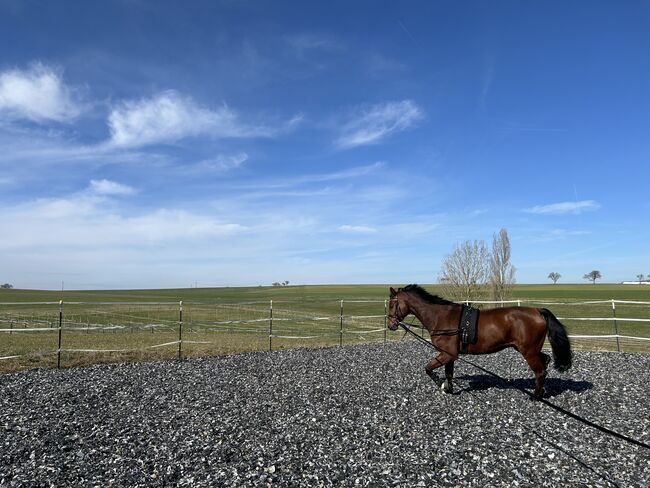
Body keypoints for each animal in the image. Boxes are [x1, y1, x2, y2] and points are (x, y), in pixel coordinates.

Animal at [388, 284, 568, 398]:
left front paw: (442, 385)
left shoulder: (447, 354)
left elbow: (429, 369)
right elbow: (448, 373)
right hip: (529, 349)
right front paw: (450, 389)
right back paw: (542, 391)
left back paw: (536, 396)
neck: (441, 317)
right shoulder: (449, 355)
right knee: (545, 361)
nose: (390, 325)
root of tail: (537, 311)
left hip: (528, 352)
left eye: (391, 305)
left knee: (540, 371)